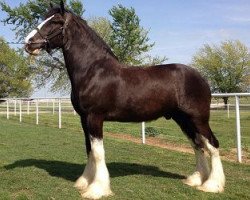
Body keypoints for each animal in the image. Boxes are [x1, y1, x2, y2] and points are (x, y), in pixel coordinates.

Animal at [24, 1, 225, 198]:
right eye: (44, 18)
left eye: (56, 21)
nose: (29, 42)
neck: (93, 70)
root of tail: (200, 78)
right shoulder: (83, 118)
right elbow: (89, 149)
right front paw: (84, 182)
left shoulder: (94, 117)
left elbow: (98, 152)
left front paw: (97, 188)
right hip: (183, 119)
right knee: (198, 145)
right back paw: (196, 180)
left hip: (198, 118)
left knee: (212, 144)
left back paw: (212, 185)